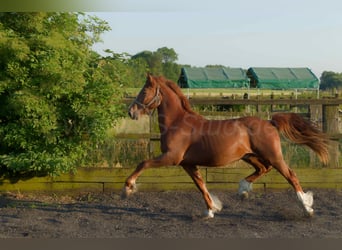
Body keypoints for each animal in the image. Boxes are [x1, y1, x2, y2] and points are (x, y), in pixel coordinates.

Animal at [123, 73, 328, 218]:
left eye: (144, 92)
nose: (131, 112)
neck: (178, 123)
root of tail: (270, 122)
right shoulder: (188, 164)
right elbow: (200, 185)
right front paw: (211, 210)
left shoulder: (171, 158)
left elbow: (143, 163)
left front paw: (128, 188)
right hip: (249, 156)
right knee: (263, 168)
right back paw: (243, 190)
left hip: (274, 156)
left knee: (291, 175)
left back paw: (307, 208)